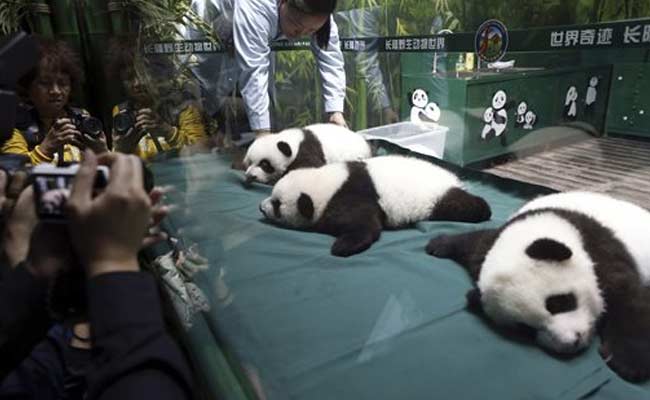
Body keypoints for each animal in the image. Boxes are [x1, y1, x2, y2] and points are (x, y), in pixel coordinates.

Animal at [260, 155, 492, 257]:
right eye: (273, 197)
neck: (323, 184)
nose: (261, 208)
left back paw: (483, 209)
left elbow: (364, 225)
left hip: (436, 196)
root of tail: (455, 179)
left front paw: (342, 246)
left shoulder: (350, 195)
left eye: (277, 204)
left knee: (459, 205)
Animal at [425, 191, 650, 382]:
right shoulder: (489, 248)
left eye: (559, 302)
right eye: (526, 329)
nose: (570, 343)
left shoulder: (599, 249)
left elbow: (628, 298)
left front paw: (626, 361)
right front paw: (438, 244)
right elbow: (475, 243)